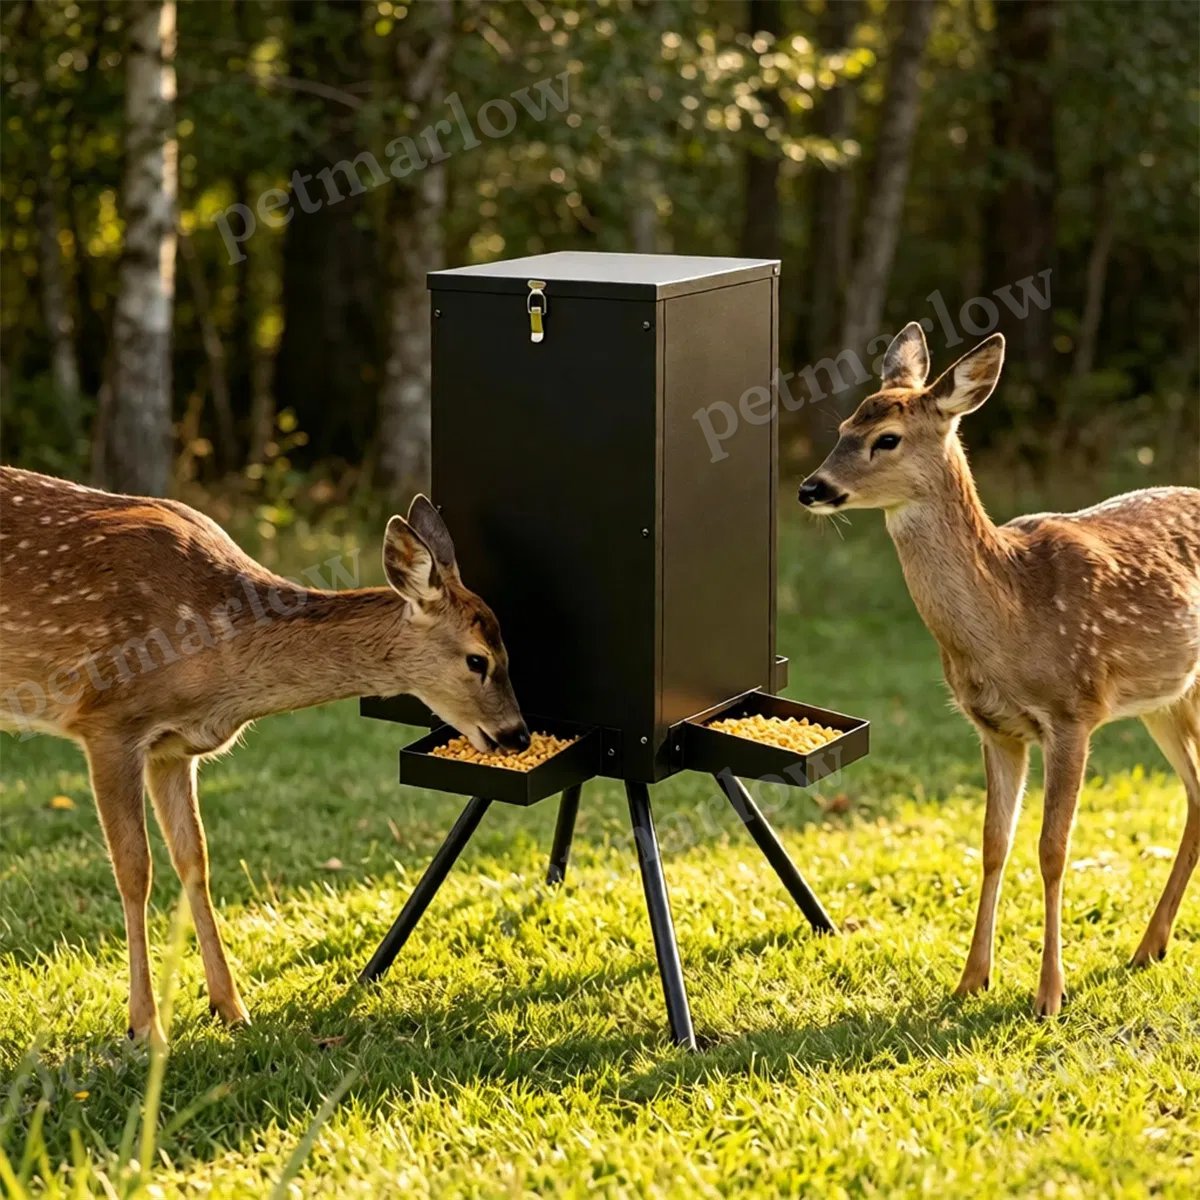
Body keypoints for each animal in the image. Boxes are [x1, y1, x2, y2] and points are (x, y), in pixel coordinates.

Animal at [0, 465, 529, 1043]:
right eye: (478, 660)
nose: (518, 734)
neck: (216, 659)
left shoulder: (172, 750)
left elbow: (195, 860)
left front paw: (230, 1007)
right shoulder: (109, 723)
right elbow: (135, 870)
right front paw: (145, 1027)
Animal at [798, 323, 1200, 1017]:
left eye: (886, 438)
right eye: (845, 426)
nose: (811, 488)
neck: (1011, 618)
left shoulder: (1073, 713)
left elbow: (1053, 849)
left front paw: (1049, 994)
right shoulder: (995, 728)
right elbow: (993, 844)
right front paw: (971, 979)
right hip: (1166, 699)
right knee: (1197, 792)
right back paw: (1150, 945)